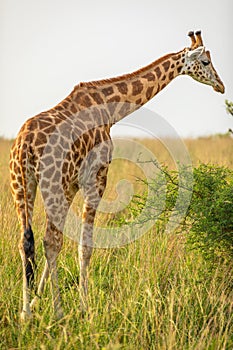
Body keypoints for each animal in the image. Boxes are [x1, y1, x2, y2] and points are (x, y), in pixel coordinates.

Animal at [9, 30, 224, 320]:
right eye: (204, 61)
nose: (221, 86)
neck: (110, 110)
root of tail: (24, 146)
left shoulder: (71, 184)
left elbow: (61, 241)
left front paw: (36, 300)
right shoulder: (96, 179)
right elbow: (84, 246)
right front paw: (84, 306)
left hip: (22, 185)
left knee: (27, 242)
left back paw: (26, 313)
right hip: (50, 185)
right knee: (49, 241)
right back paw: (59, 312)